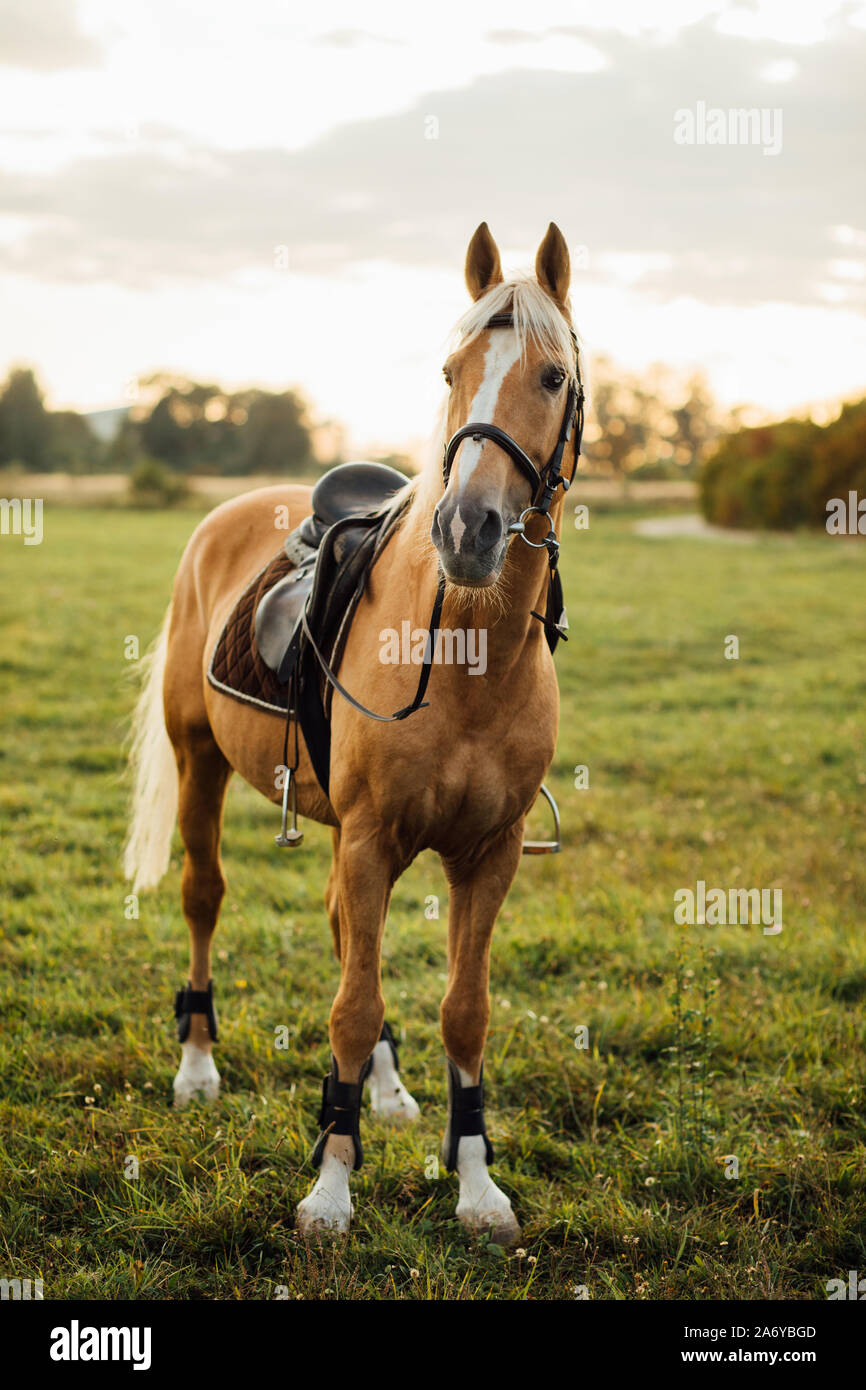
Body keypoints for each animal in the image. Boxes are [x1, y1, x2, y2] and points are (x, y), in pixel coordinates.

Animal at [127, 222, 589, 1245]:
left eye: (552, 377)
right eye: (452, 369)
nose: (468, 529)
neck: (465, 652)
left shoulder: (487, 853)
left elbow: (462, 1011)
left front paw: (475, 1184)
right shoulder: (374, 838)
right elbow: (350, 1003)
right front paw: (331, 1188)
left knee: (347, 935)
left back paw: (382, 1092)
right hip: (200, 762)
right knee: (205, 899)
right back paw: (198, 1067)